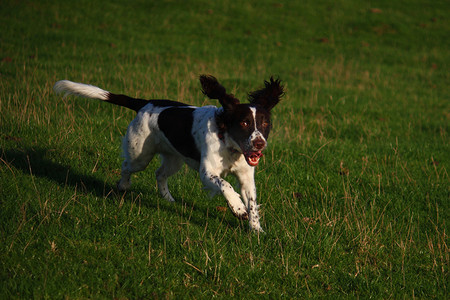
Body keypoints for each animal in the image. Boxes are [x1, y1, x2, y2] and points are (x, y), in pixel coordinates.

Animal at [54, 75, 284, 232]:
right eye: (244, 123)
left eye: (265, 124)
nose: (259, 144)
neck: (229, 143)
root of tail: (144, 102)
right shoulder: (207, 172)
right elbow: (225, 185)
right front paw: (237, 209)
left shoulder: (246, 177)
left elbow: (252, 202)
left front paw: (256, 231)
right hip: (140, 154)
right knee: (127, 166)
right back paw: (123, 186)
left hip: (174, 159)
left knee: (160, 173)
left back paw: (168, 198)